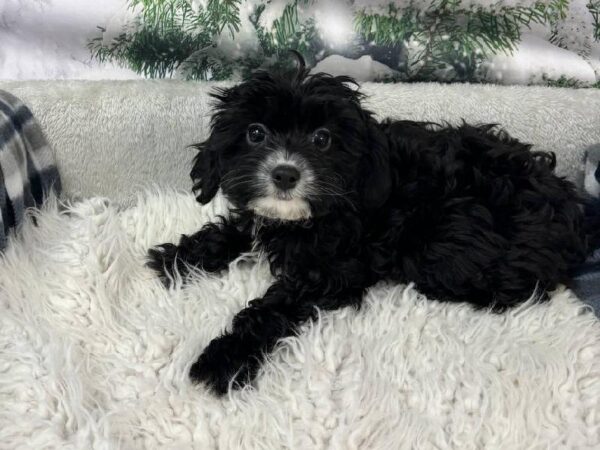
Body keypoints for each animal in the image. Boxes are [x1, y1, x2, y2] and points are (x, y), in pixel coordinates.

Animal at [148, 56, 588, 394]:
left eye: (323, 139)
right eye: (255, 133)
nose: (285, 174)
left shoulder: (332, 270)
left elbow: (272, 307)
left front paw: (224, 359)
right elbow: (235, 230)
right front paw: (176, 258)